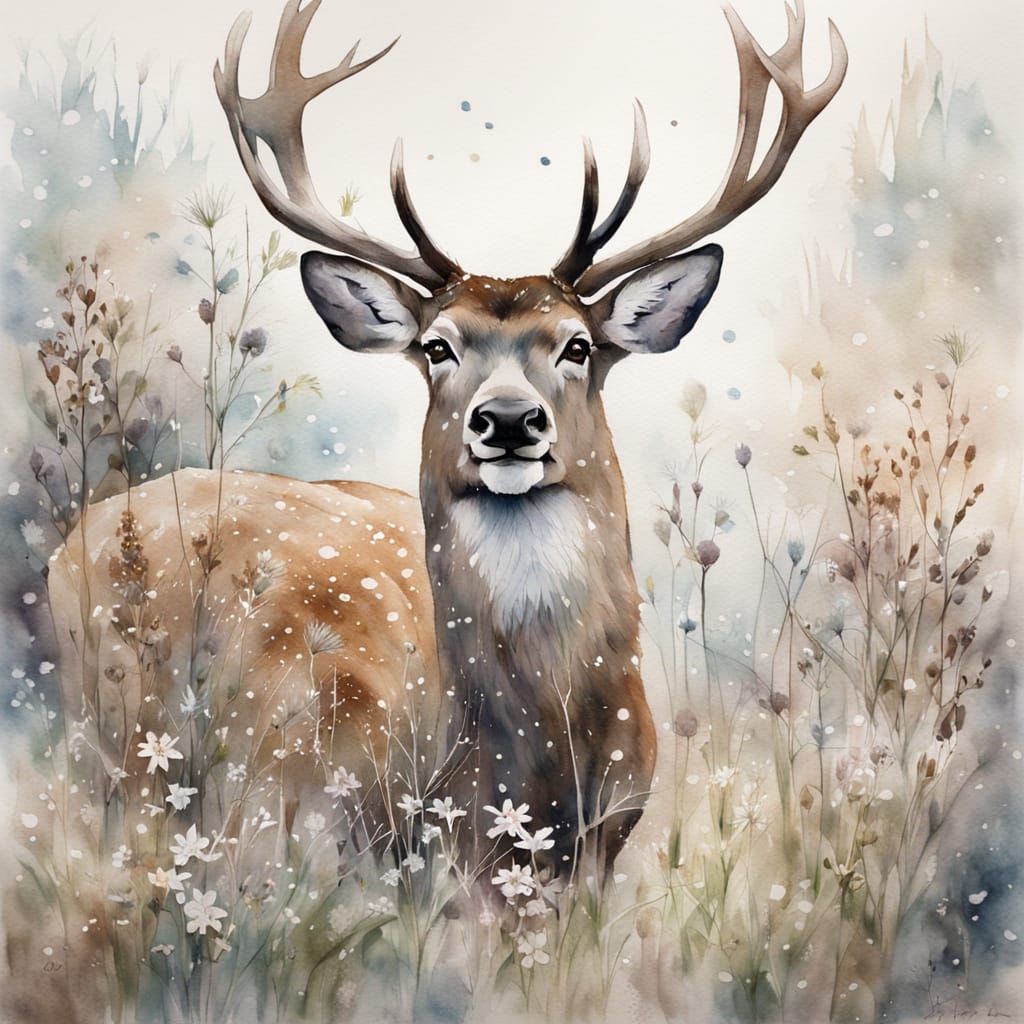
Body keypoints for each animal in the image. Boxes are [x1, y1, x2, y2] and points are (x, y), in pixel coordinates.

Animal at [46, 0, 846, 885]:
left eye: (578, 344)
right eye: (437, 346)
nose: (508, 420)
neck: (528, 754)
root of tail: (78, 538)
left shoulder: (606, 838)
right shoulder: (367, 826)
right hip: (124, 739)